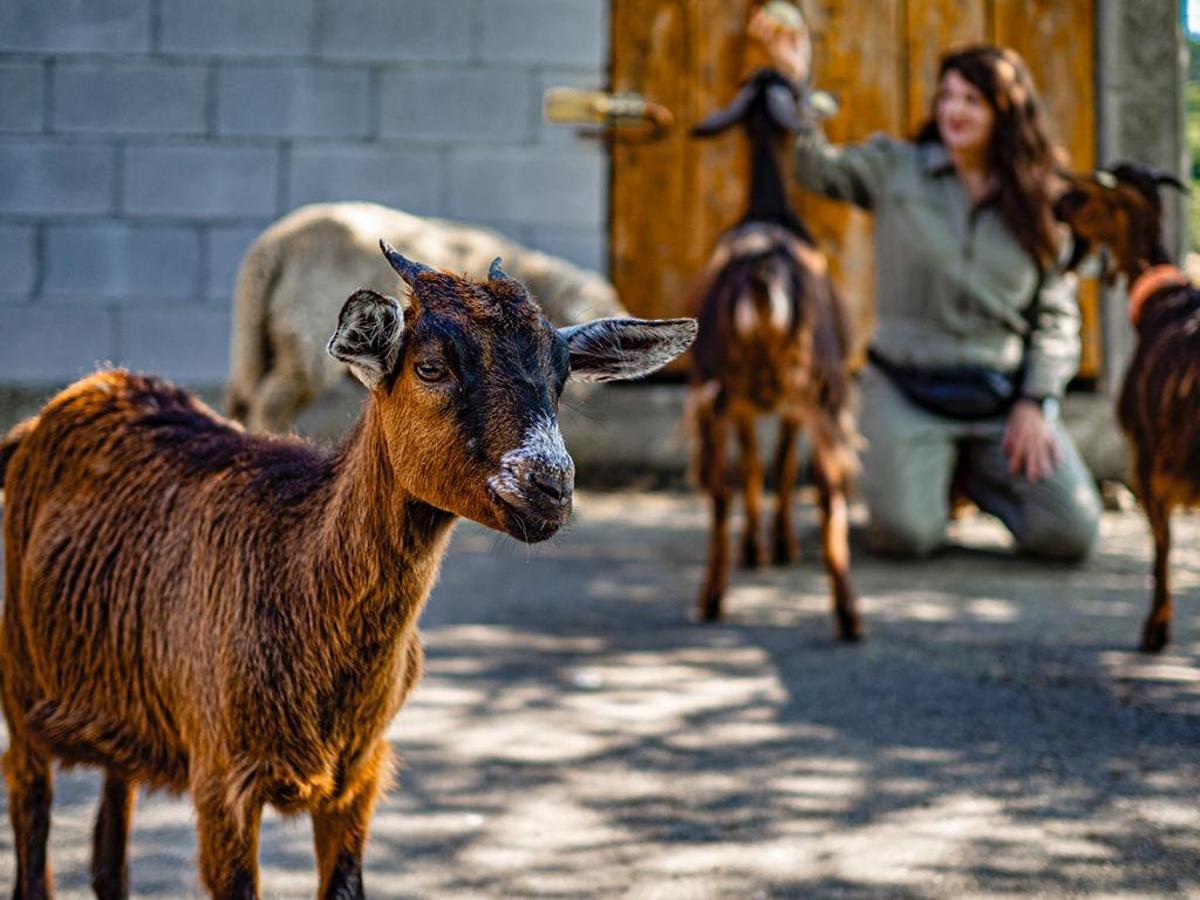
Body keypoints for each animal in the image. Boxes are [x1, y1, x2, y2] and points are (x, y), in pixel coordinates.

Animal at [0, 241, 696, 900]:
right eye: (431, 367)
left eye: (561, 377)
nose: (549, 486)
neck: (293, 565)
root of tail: (70, 399)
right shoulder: (221, 777)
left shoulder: (359, 777)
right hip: (20, 691)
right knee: (31, 828)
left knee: (110, 841)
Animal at [686, 66, 864, 638]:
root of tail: (763, 270)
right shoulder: (782, 404)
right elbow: (777, 462)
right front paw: (773, 547)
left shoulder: (748, 402)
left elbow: (757, 465)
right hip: (817, 392)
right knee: (827, 490)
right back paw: (846, 613)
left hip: (717, 388)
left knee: (721, 489)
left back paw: (715, 596)